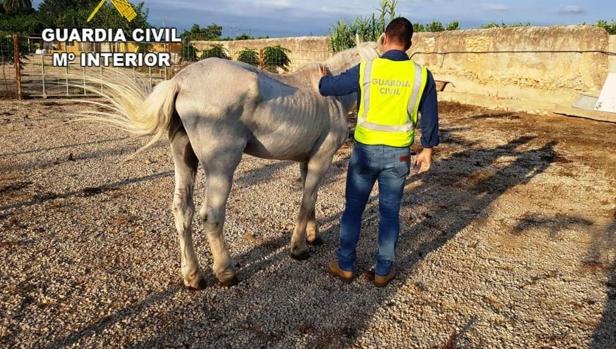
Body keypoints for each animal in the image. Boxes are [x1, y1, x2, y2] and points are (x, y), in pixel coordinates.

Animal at [82, 42, 380, 286]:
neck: (330, 95)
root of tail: (180, 81)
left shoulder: (307, 161)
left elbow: (312, 200)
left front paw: (312, 236)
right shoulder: (321, 158)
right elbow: (307, 202)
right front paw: (299, 248)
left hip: (184, 159)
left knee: (182, 210)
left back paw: (192, 276)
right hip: (221, 167)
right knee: (211, 215)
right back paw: (225, 272)